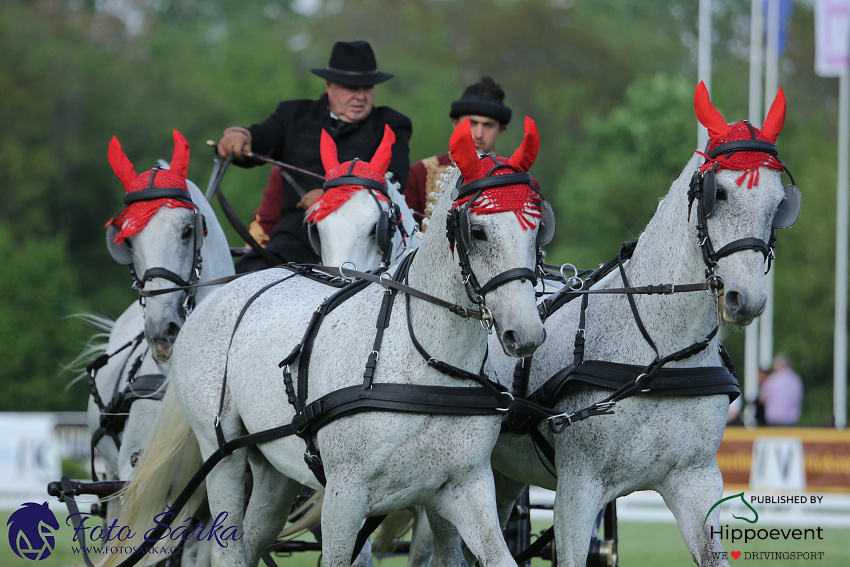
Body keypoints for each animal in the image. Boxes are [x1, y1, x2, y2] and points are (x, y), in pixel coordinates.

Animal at [101, 117, 548, 567]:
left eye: (539, 226)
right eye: (478, 230)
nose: (525, 332)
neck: (429, 367)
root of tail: (213, 299)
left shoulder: (464, 488)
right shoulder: (343, 499)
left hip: (273, 469)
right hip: (222, 454)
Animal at [486, 84, 800, 567]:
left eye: (778, 203)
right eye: (719, 193)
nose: (746, 299)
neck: (660, 354)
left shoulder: (695, 480)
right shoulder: (578, 489)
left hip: (500, 474)